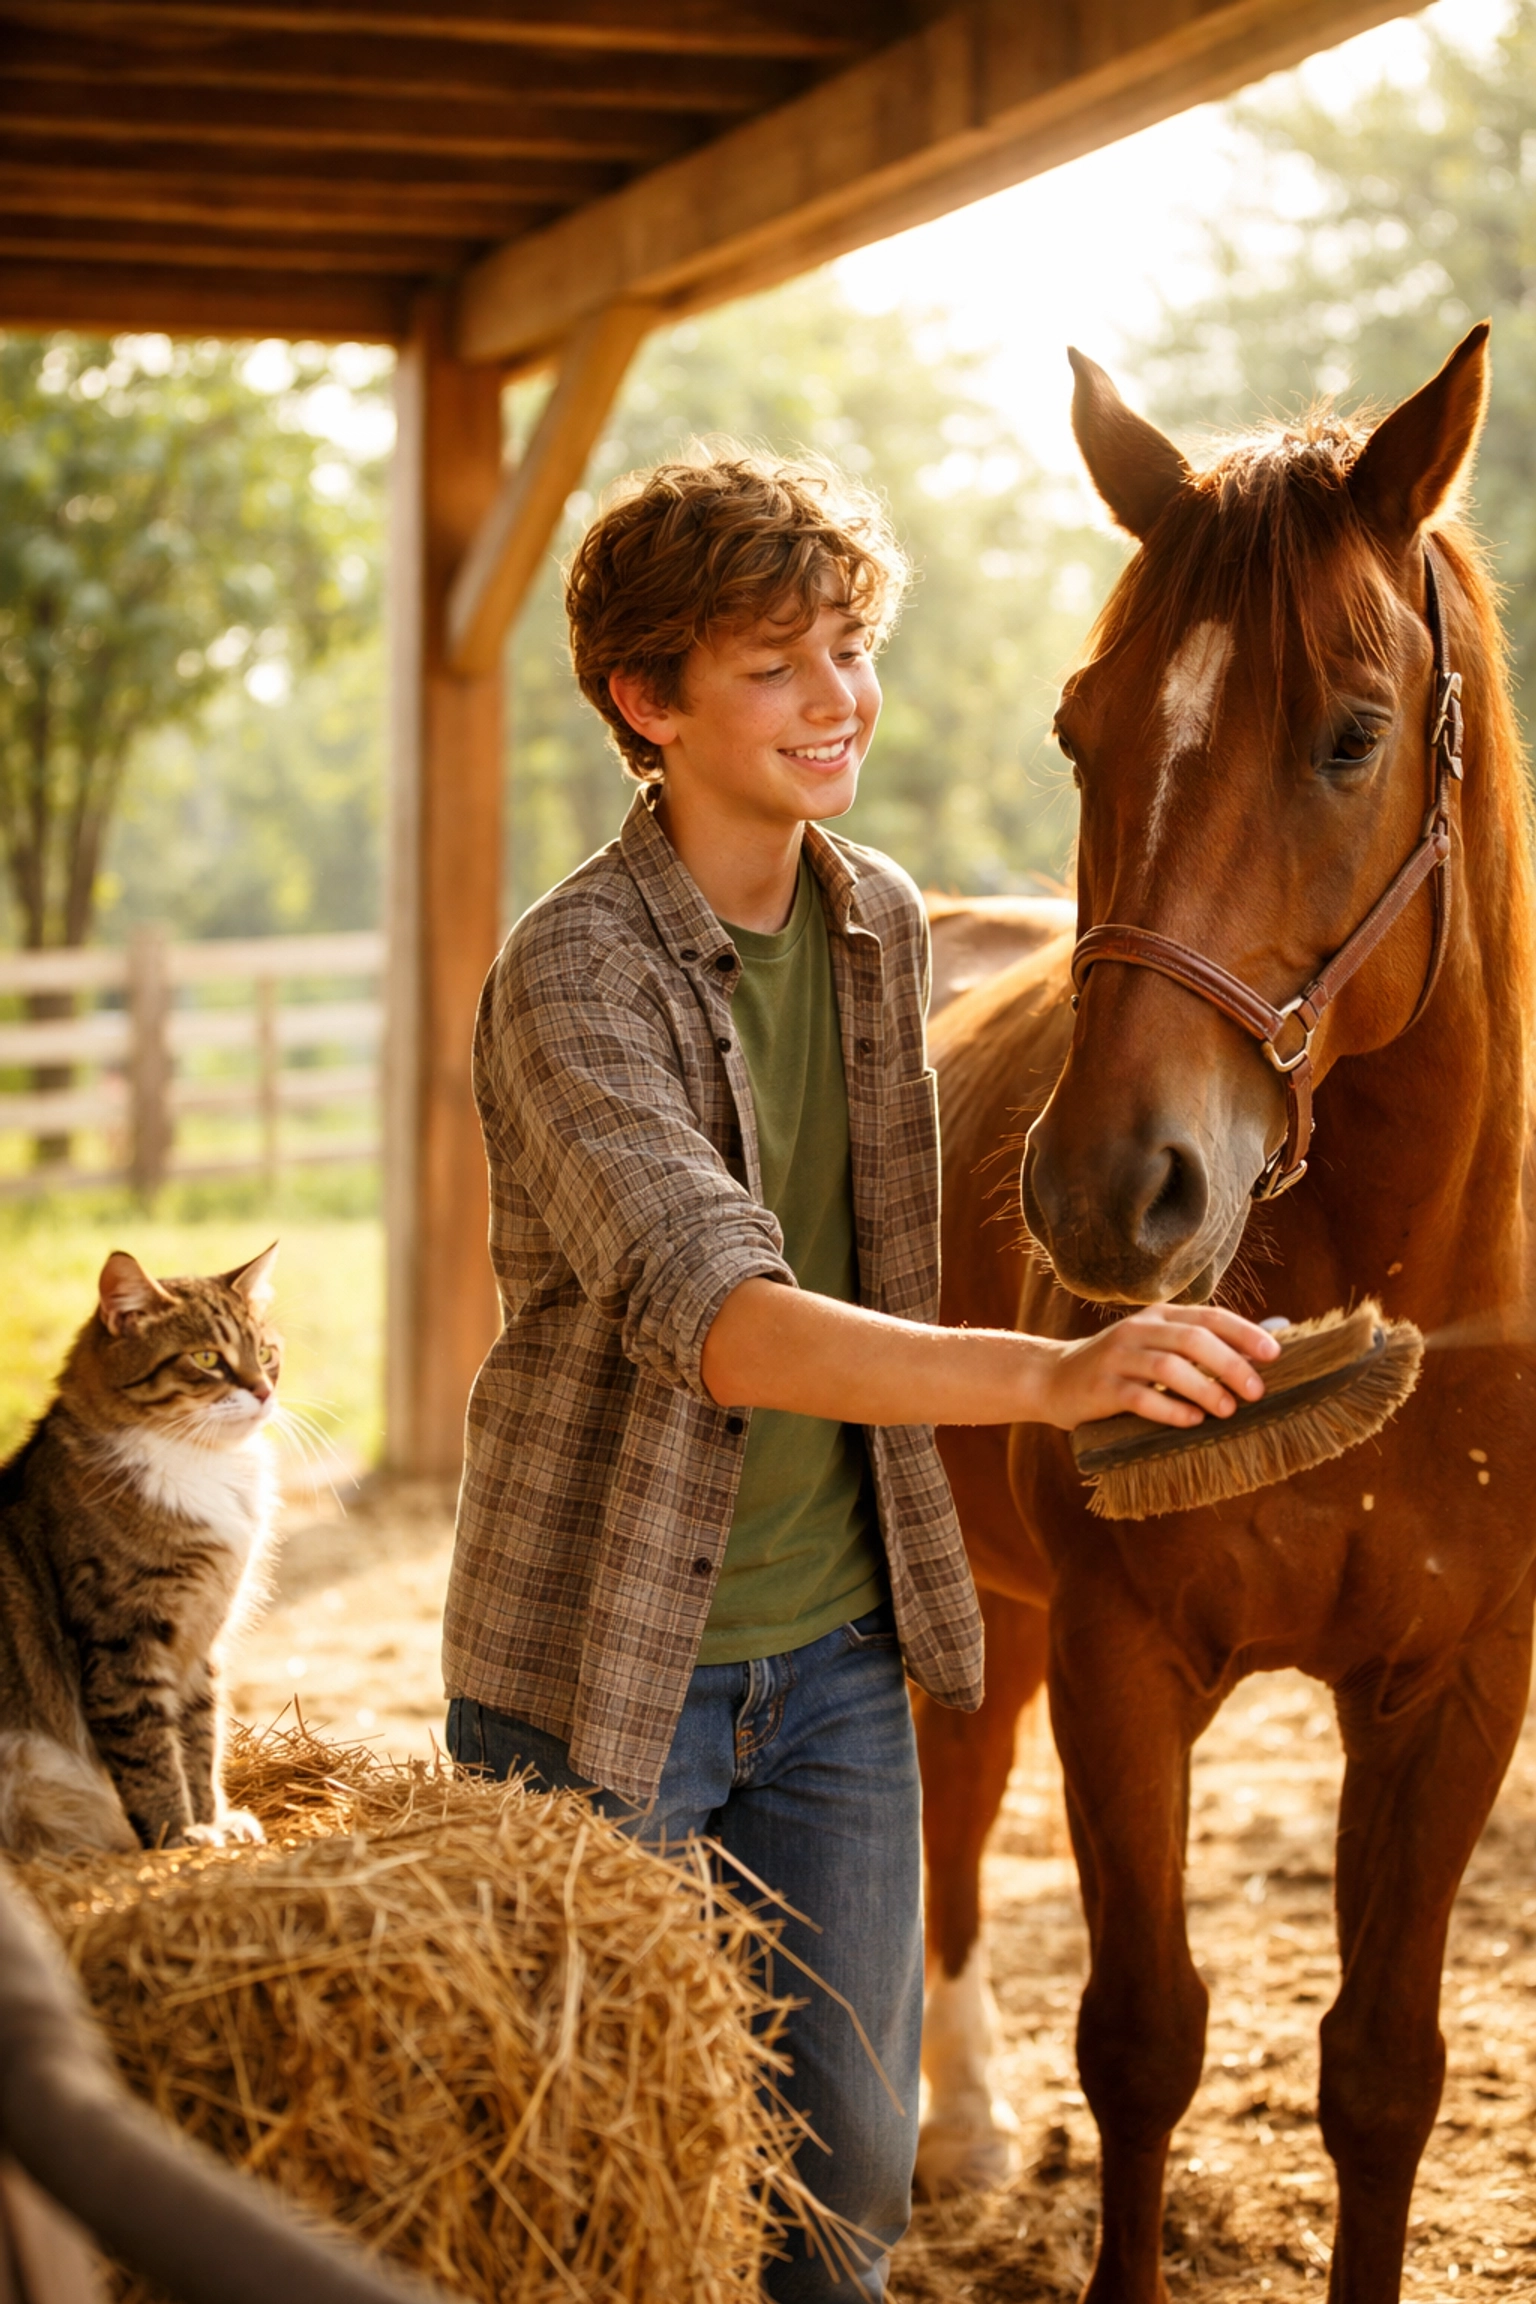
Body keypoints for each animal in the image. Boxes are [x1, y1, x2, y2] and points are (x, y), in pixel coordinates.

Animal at [915, 322, 1536, 2304]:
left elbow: (1383, 2068)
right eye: (1079, 728)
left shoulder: (1453, 1687)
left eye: (1351, 731)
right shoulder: (1127, 1661)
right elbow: (1143, 2038)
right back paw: (953, 2124)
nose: (1109, 1191)